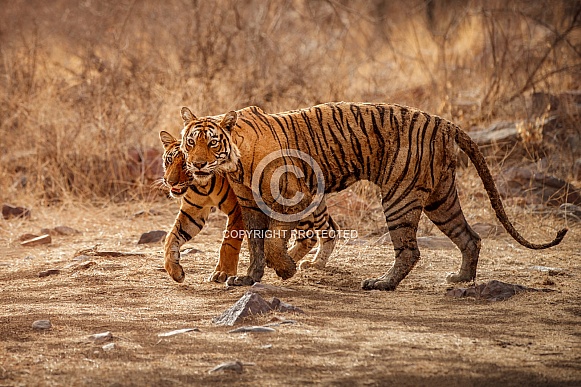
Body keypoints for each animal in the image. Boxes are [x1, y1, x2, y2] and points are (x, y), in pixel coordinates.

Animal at [159, 130, 340, 284]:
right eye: (169, 160)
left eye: (185, 165)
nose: (169, 182)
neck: (201, 184)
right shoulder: (193, 212)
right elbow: (171, 237)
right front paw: (175, 271)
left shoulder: (239, 209)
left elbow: (229, 243)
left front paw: (223, 273)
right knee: (328, 229)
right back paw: (309, 263)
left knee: (312, 235)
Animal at [179, 103, 564, 292]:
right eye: (189, 141)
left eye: (211, 142)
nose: (196, 163)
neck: (236, 163)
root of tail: (444, 123)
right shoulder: (251, 205)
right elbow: (257, 244)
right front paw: (249, 278)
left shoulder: (293, 196)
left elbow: (275, 241)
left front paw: (286, 269)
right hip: (441, 198)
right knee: (470, 237)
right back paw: (461, 280)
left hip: (399, 196)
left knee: (409, 250)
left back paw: (382, 284)